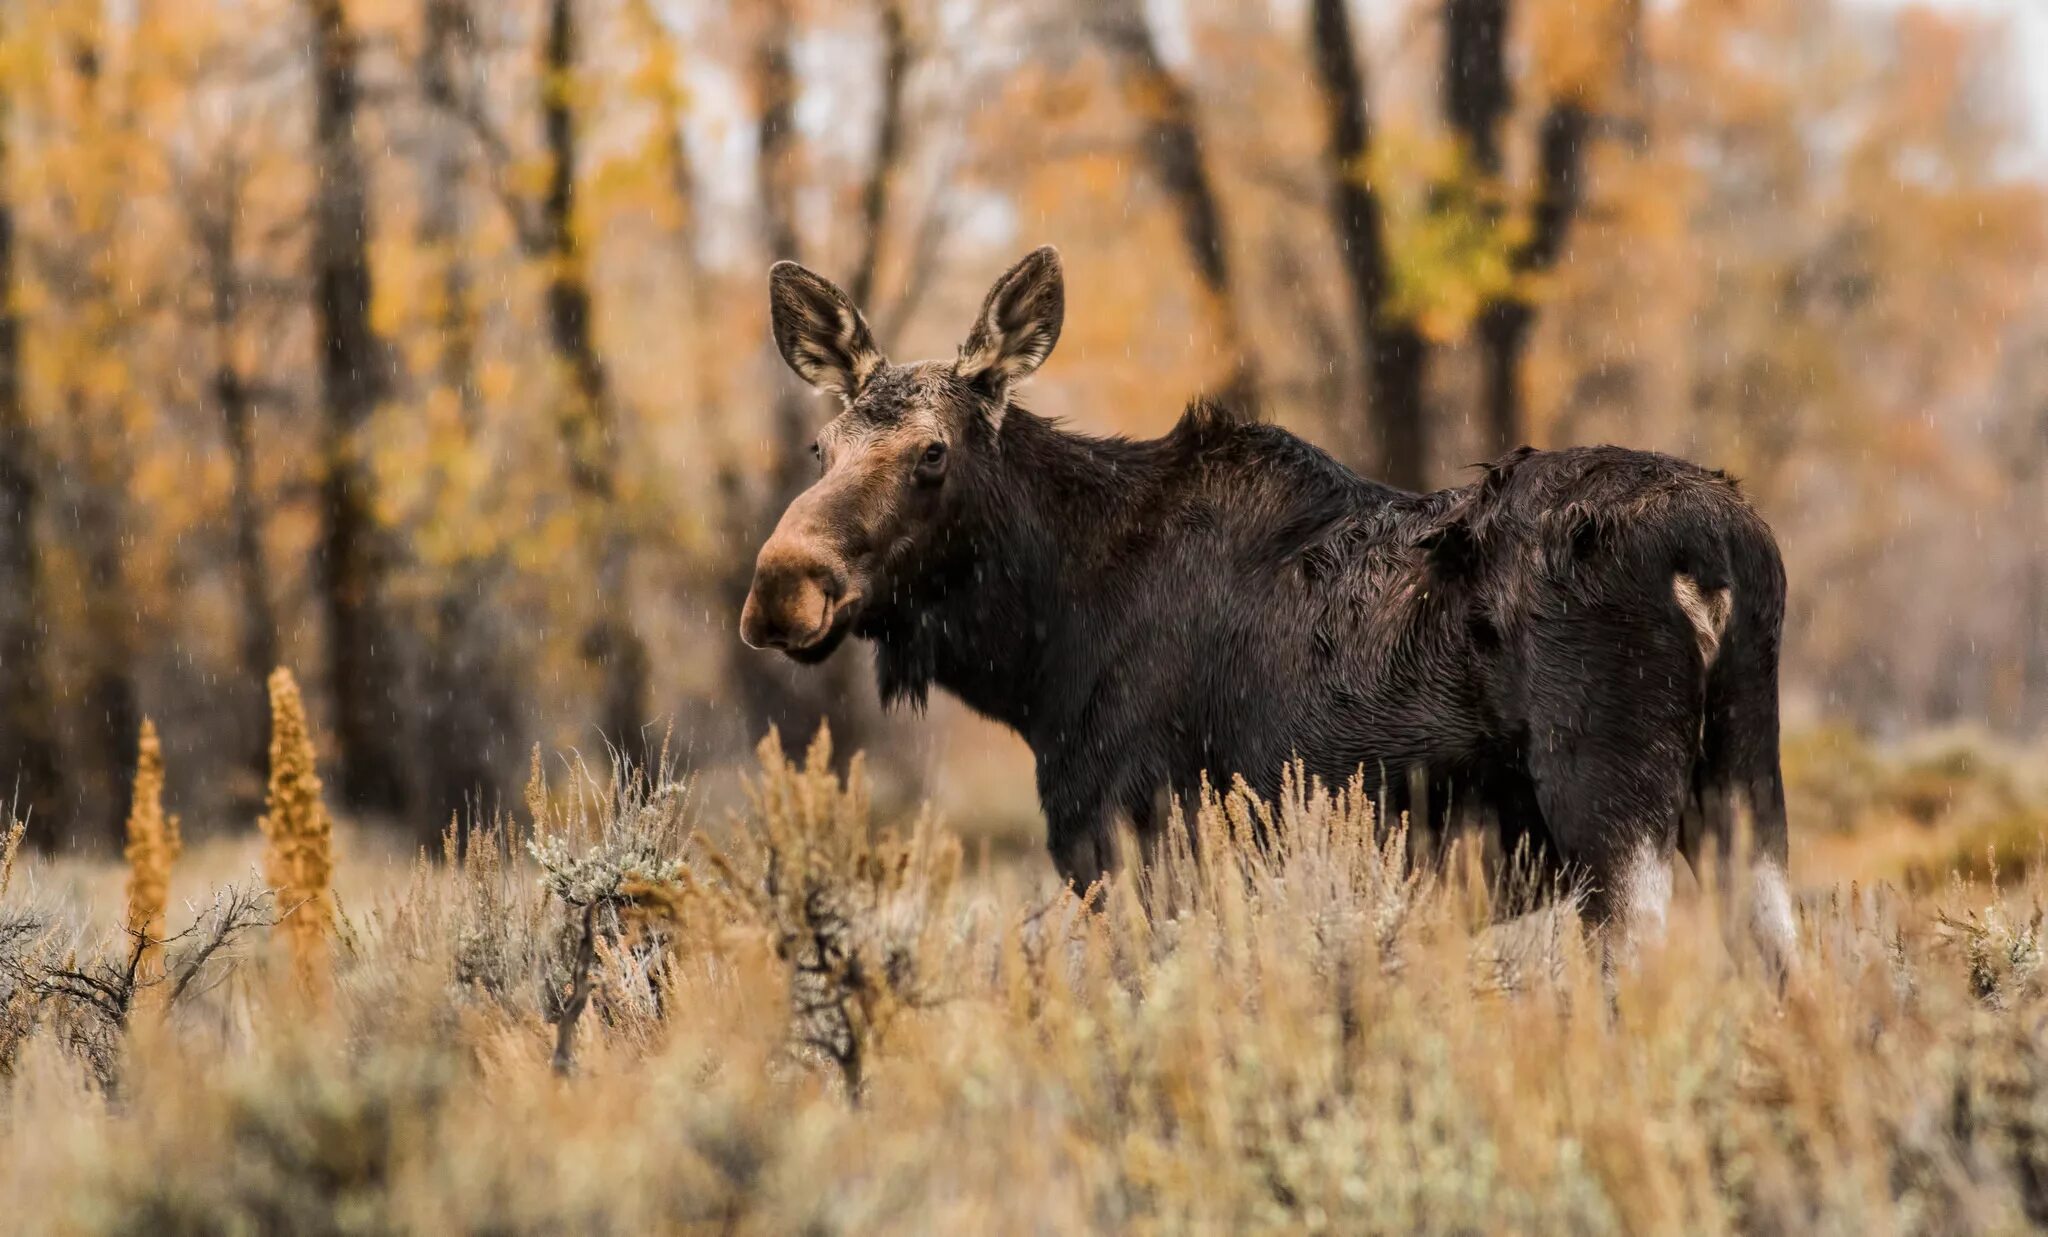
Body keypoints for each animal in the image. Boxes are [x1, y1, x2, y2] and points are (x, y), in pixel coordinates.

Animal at [741, 246, 1794, 970]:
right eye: (821, 449)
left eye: (932, 451)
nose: (783, 584)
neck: (1037, 659)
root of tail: (1719, 546)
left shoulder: (1137, 843)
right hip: (1745, 783)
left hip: (1609, 804)